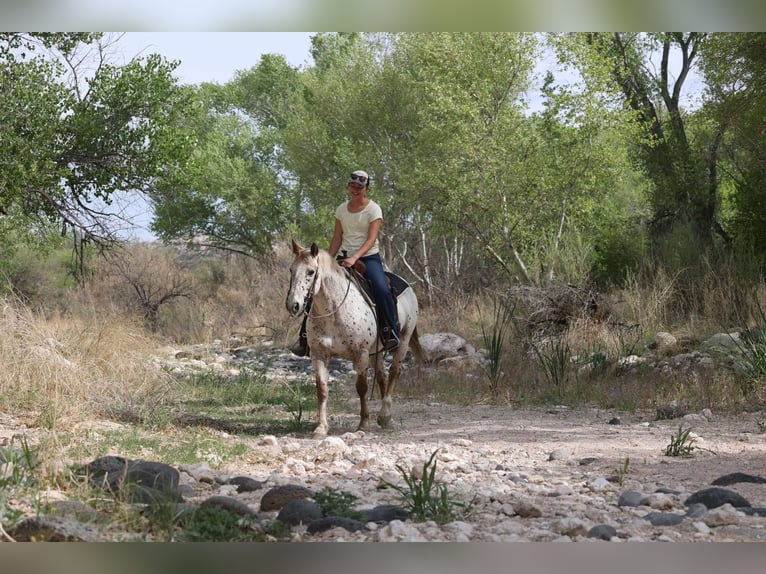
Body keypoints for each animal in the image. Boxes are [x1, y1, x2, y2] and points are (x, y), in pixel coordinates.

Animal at [285, 239, 425, 437]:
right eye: (291, 269)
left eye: (311, 272)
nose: (293, 305)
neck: (333, 310)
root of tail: (407, 285)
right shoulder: (319, 354)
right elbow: (322, 390)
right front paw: (321, 427)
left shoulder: (361, 353)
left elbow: (361, 387)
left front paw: (364, 422)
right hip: (376, 351)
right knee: (381, 376)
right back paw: (386, 418)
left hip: (403, 342)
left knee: (393, 373)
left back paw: (385, 414)